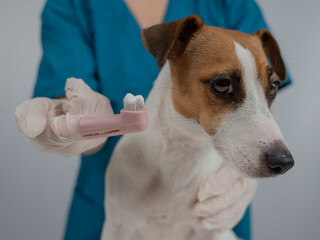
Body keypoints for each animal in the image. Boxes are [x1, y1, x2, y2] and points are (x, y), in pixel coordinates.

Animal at [101, 15, 294, 240]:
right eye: (222, 84)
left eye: (273, 86)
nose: (283, 161)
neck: (184, 153)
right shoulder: (118, 227)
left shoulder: (211, 231)